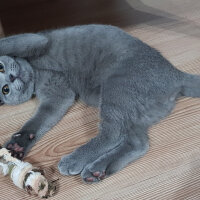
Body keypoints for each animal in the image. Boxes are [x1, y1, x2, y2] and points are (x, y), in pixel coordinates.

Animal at [0, 24, 199, 183]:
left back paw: (75, 161)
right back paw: (97, 170)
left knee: (113, 133)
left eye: (1, 68)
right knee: (138, 143)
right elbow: (38, 121)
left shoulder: (36, 39)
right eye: (5, 90)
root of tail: (176, 74)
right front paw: (17, 145)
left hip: (118, 88)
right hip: (134, 108)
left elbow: (10, 42)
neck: (35, 70)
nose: (12, 77)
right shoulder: (57, 96)